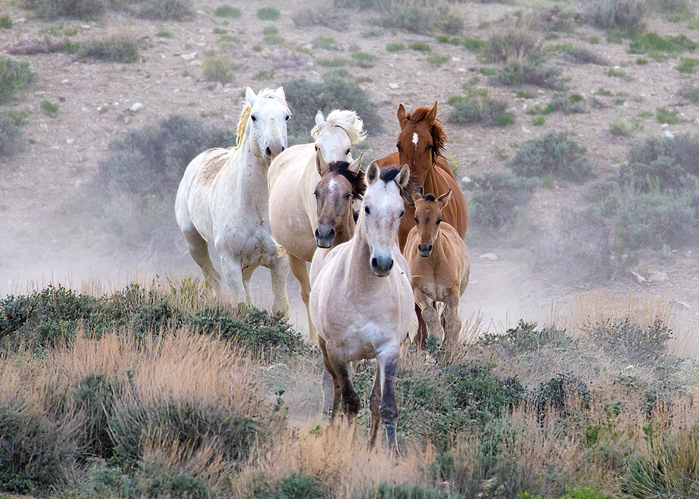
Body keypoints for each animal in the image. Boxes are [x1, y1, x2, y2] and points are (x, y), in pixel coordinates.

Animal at [175, 87, 291, 314]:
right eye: (254, 117)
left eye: (286, 116)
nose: (274, 150)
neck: (256, 207)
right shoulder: (230, 262)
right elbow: (241, 306)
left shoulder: (279, 261)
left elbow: (280, 309)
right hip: (195, 244)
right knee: (214, 280)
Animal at [309, 162, 415, 452]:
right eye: (367, 207)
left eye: (401, 212)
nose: (382, 263)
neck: (361, 293)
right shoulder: (337, 352)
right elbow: (349, 400)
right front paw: (345, 443)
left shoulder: (389, 351)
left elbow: (385, 405)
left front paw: (390, 453)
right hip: (328, 351)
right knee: (335, 390)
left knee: (375, 399)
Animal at [404, 188, 470, 348]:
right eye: (416, 218)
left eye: (438, 219)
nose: (425, 248)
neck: (434, 263)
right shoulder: (419, 291)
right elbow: (429, 315)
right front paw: (437, 340)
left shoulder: (452, 291)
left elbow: (453, 320)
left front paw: (450, 346)